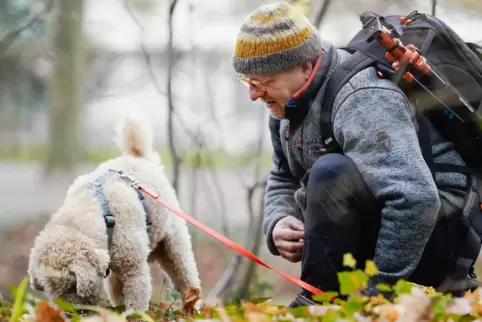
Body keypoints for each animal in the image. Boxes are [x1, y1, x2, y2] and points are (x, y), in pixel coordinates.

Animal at [27, 114, 201, 312]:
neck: (99, 211)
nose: (71, 312)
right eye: (49, 290)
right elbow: (118, 296)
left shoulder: (134, 269)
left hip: (174, 243)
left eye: (73, 285)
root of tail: (140, 157)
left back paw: (193, 307)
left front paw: (132, 314)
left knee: (186, 277)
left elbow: (136, 300)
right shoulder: (113, 269)